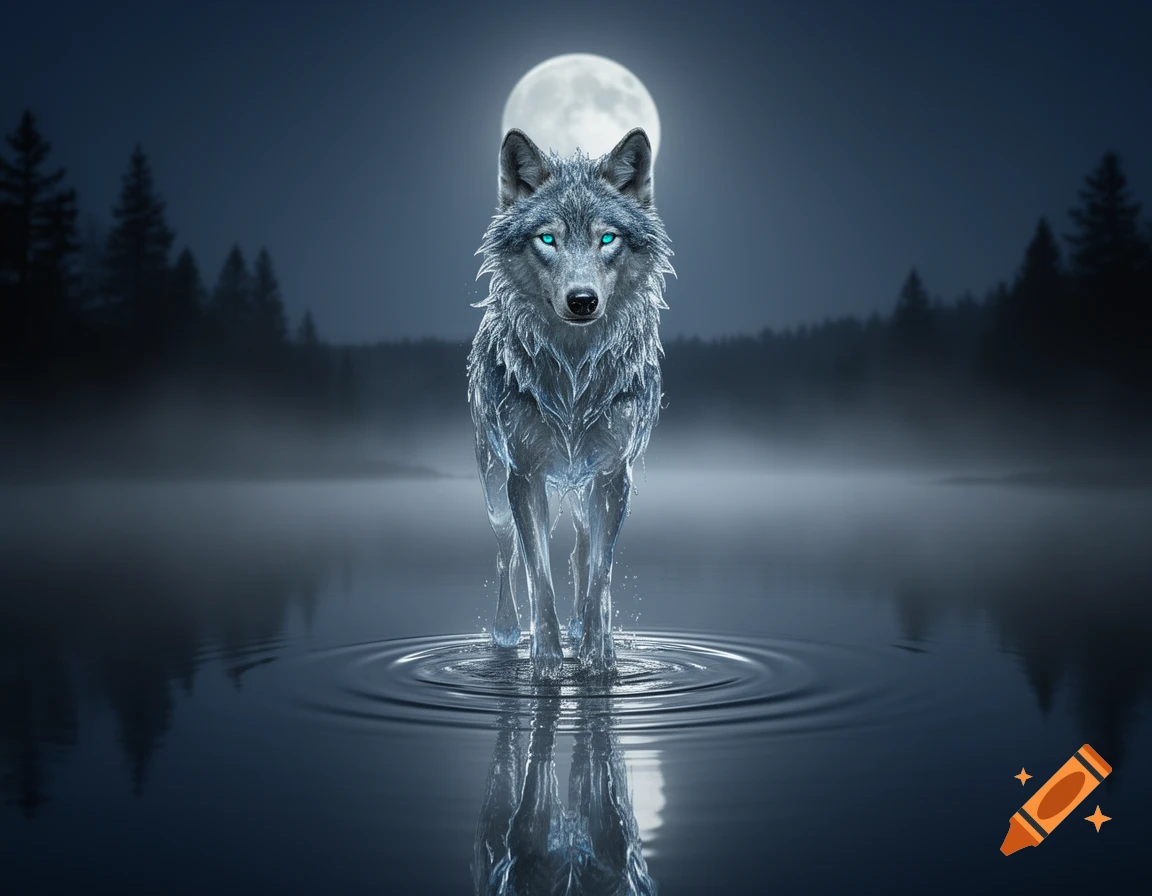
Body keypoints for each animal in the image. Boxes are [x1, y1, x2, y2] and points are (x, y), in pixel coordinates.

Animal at [468, 127, 673, 677]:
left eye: (607, 238)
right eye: (547, 239)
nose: (582, 301)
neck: (574, 377)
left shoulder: (614, 476)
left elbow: (600, 571)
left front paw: (598, 659)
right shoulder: (524, 477)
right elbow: (538, 573)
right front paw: (545, 662)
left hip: (585, 490)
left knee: (581, 551)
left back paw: (582, 629)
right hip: (494, 488)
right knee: (505, 553)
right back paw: (505, 633)